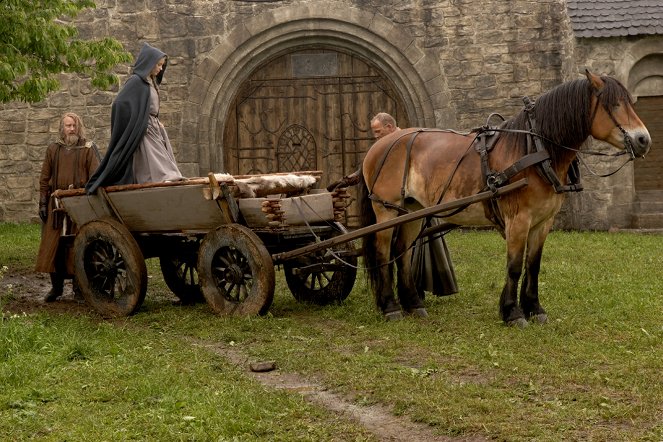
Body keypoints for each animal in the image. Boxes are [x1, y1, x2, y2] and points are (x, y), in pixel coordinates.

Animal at [358, 71, 652, 326]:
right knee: (384, 251)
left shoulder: (543, 222)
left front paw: (534, 308)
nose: (644, 140)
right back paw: (390, 306)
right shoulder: (518, 219)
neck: (535, 151)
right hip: (385, 210)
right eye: (614, 104)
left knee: (403, 251)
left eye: (629, 102)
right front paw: (512, 312)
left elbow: (533, 266)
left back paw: (413, 303)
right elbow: (514, 266)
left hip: (411, 210)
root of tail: (379, 146)